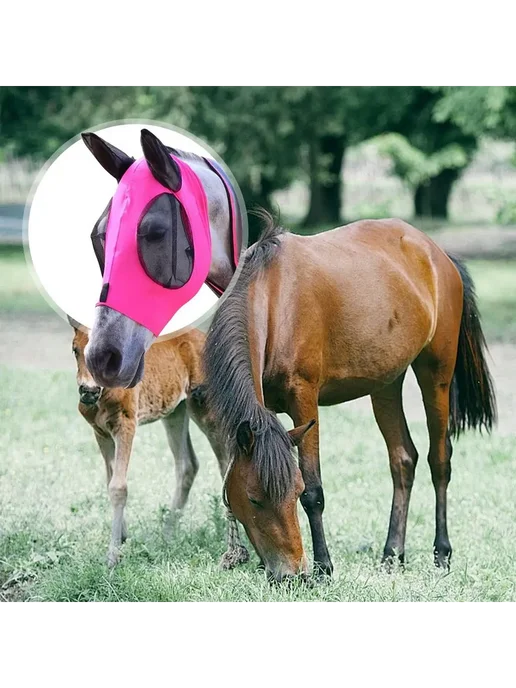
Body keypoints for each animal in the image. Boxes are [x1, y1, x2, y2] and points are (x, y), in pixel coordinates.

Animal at [70, 322, 249, 569]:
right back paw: (167, 533)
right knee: (188, 465)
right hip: (175, 412)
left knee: (224, 463)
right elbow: (110, 480)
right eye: (75, 350)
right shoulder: (101, 433)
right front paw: (122, 537)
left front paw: (113, 556)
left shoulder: (126, 425)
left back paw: (230, 544)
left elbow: (119, 487)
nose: (88, 391)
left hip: (206, 410)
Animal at [201, 214, 497, 582]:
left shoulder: (304, 398)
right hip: (386, 384)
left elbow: (315, 490)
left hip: (436, 375)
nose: (289, 574)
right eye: (254, 499)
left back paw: (441, 554)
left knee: (439, 460)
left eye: (294, 492)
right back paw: (392, 555)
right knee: (403, 460)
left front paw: (324, 568)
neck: (274, 300)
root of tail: (438, 255)